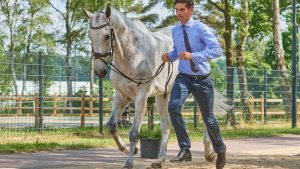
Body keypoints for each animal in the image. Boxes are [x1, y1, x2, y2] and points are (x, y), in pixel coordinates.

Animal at [84, 5, 214, 168]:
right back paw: (159, 160)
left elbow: (134, 133)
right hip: (164, 96)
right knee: (166, 124)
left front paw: (128, 162)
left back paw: (209, 153)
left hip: (196, 90)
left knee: (206, 117)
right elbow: (112, 126)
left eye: (107, 36)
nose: (99, 71)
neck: (133, 56)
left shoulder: (141, 97)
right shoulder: (121, 96)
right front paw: (128, 149)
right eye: (90, 36)